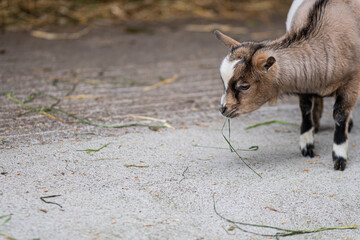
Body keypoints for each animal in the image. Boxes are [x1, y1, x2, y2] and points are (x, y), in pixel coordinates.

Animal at [215, 0, 358, 171]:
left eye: (244, 86)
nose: (223, 109)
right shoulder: (305, 82)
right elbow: (305, 109)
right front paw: (307, 144)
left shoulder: (352, 82)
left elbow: (340, 115)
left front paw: (339, 158)